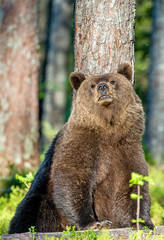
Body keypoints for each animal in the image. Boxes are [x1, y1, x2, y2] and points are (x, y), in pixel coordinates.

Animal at [8, 62, 154, 233]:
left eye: (112, 81)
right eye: (92, 85)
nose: (102, 87)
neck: (108, 130)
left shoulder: (126, 148)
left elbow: (134, 185)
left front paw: (143, 222)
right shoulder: (81, 142)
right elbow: (73, 177)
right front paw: (94, 223)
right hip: (40, 198)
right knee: (33, 210)